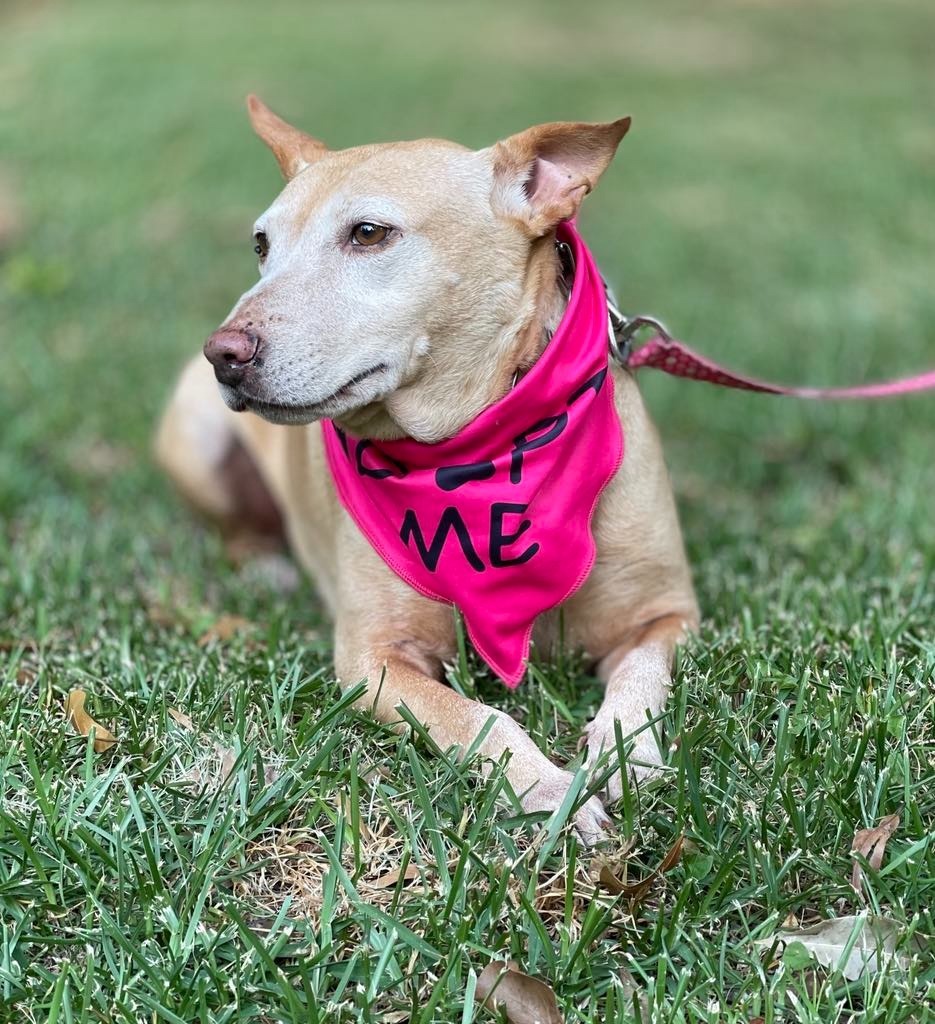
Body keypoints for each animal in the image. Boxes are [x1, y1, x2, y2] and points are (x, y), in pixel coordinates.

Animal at [156, 97, 696, 839]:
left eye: (368, 233)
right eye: (262, 245)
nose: (224, 354)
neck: (476, 445)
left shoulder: (668, 615)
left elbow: (641, 679)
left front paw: (624, 755)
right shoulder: (375, 658)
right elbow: (478, 719)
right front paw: (551, 792)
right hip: (195, 436)